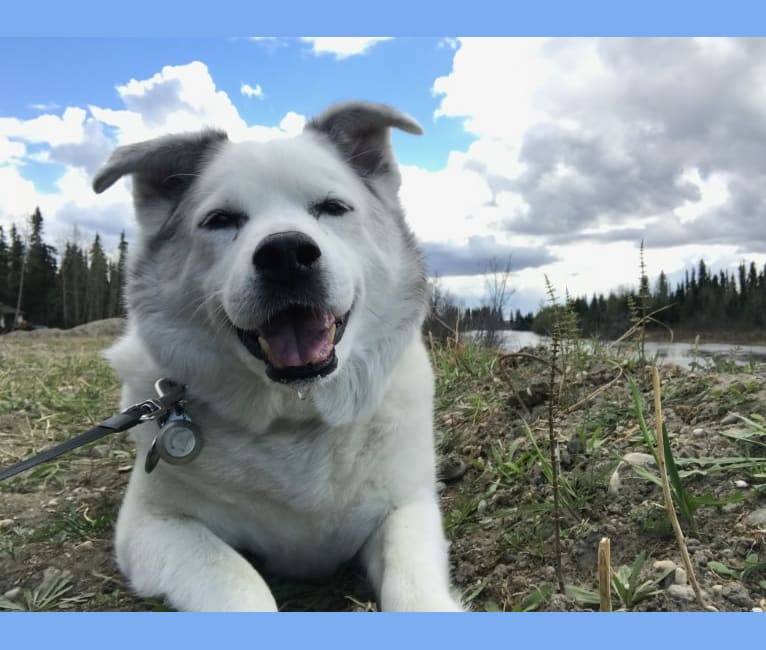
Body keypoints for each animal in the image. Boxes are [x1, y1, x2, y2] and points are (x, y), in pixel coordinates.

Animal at [91, 100, 462, 608]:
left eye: (333, 208)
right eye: (220, 220)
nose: (286, 254)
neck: (294, 418)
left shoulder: (408, 507)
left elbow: (413, 586)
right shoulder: (153, 524)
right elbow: (238, 581)